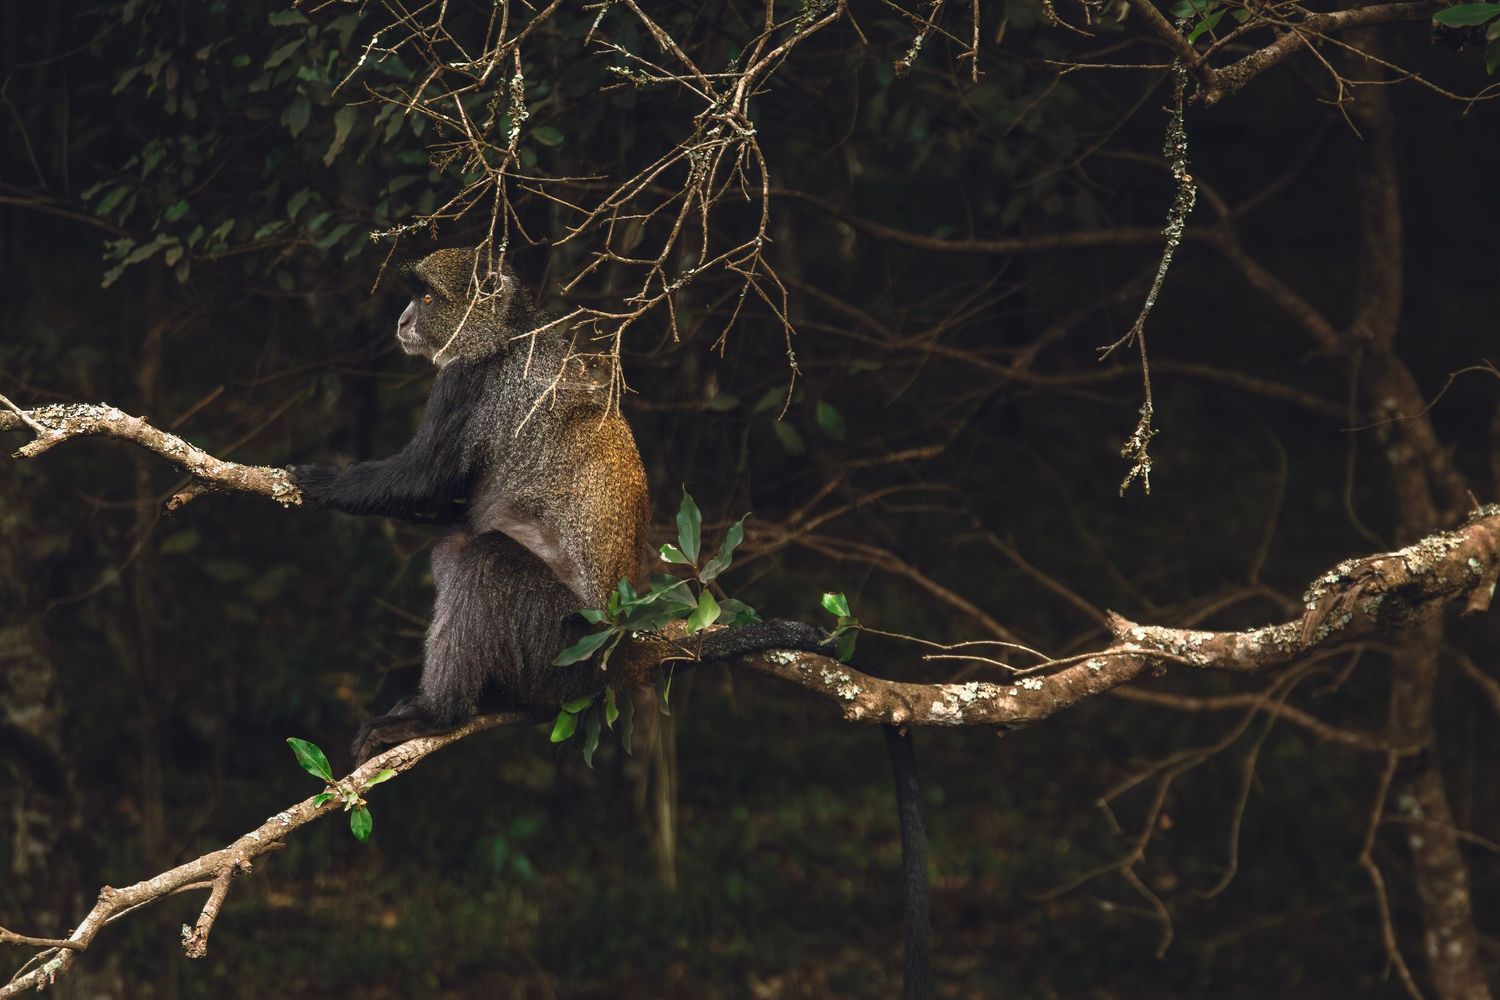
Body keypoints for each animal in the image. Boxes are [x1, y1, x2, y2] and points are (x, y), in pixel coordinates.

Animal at [287, 247, 929, 998]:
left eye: (425, 294)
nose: (402, 319)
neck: (511, 332)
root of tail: (623, 649)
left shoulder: (470, 385)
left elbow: (425, 479)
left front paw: (320, 479)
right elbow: (446, 500)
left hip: (556, 638)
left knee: (475, 558)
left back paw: (438, 712)